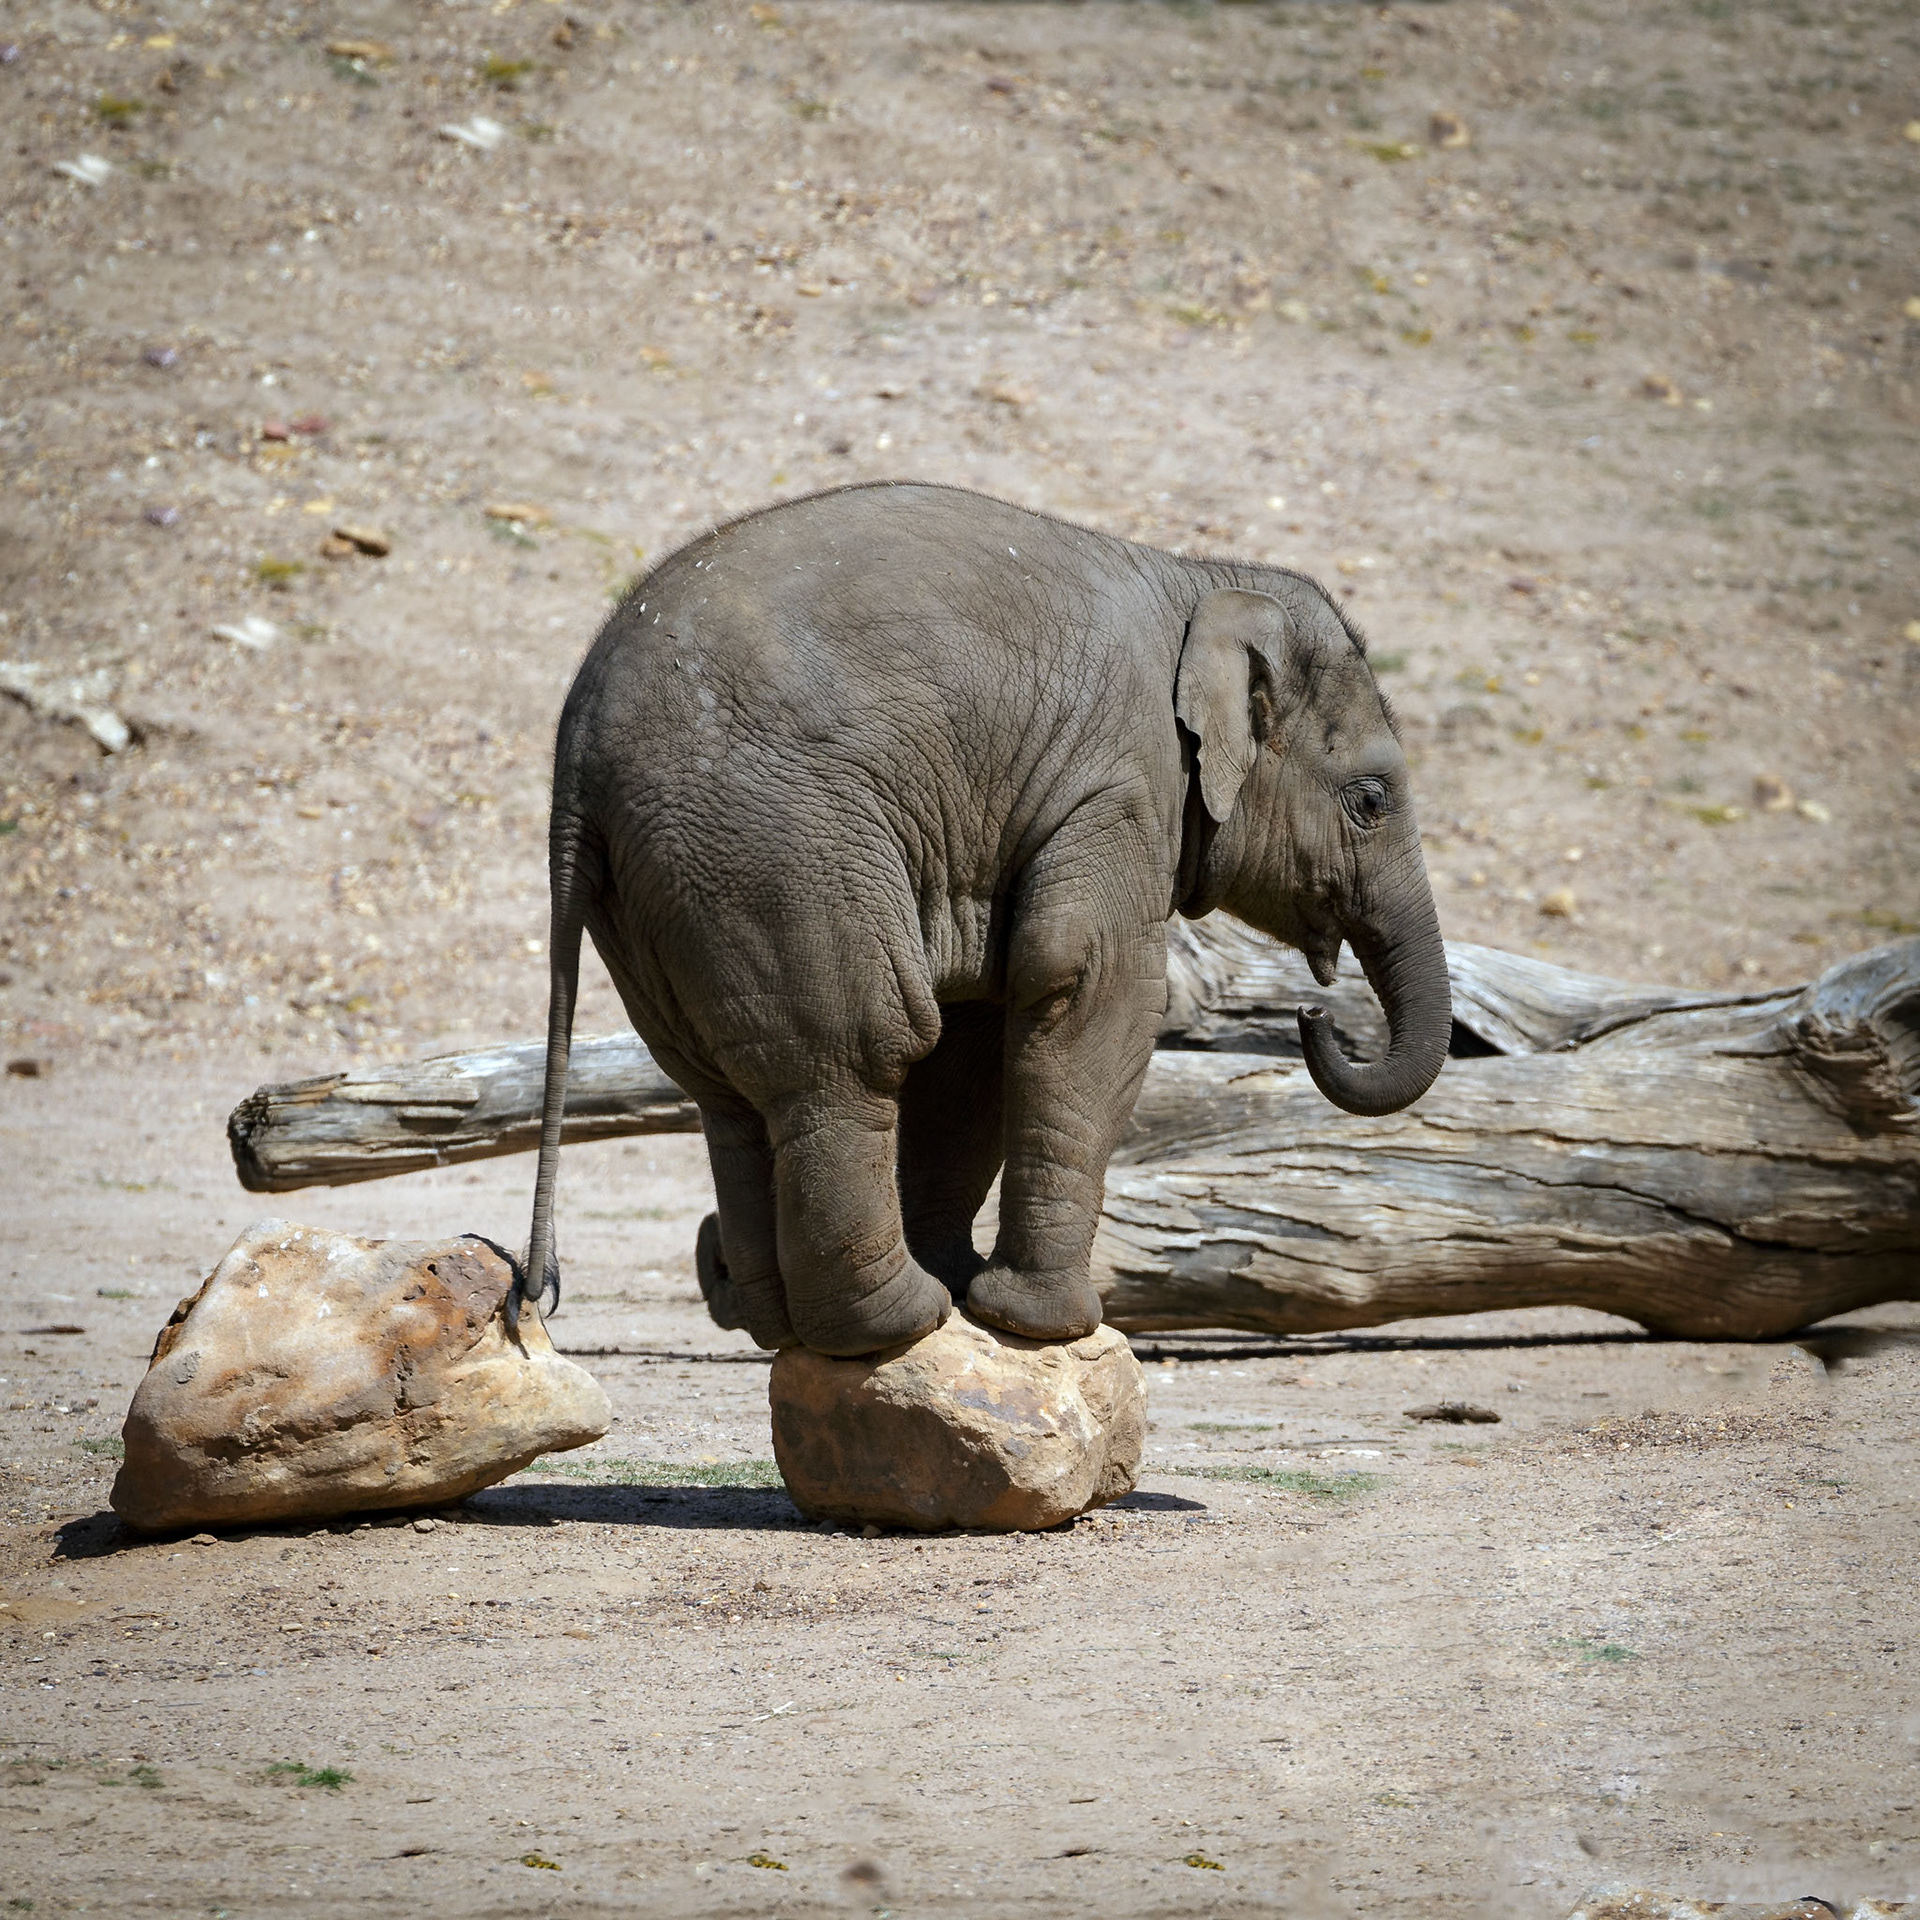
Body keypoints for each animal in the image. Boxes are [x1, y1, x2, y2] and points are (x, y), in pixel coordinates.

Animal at [518, 481, 1449, 1356]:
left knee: (727, 1091)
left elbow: (978, 1038)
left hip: (657, 894)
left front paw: (976, 1292)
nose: (1312, 1014)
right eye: (1369, 802)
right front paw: (1044, 1325)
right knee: (857, 1050)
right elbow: (1092, 987)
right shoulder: (1121, 784)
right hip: (770, 848)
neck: (1202, 580)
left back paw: (793, 1329)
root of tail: (576, 749)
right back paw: (898, 1324)